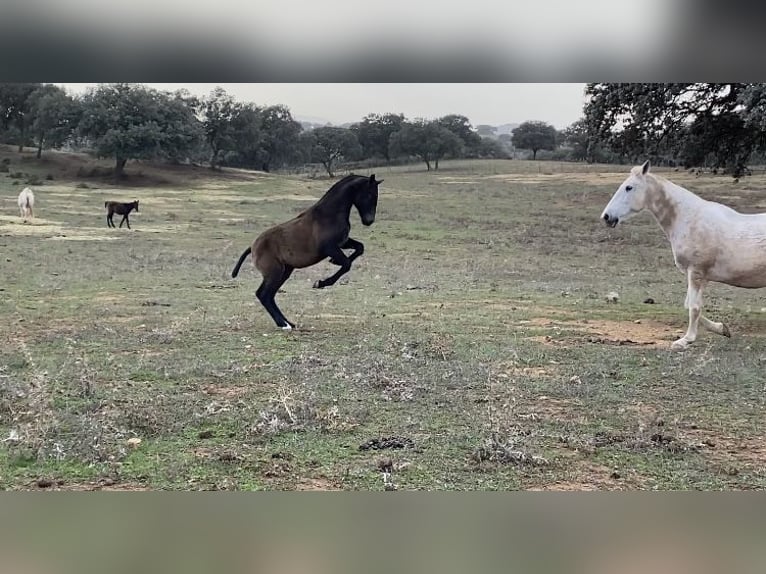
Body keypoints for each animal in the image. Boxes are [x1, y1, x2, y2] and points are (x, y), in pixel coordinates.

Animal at [231, 173, 383, 330]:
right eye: (370, 194)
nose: (369, 221)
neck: (329, 214)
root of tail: (253, 247)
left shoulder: (343, 243)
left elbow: (360, 248)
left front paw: (333, 262)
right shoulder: (330, 247)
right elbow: (346, 264)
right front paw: (320, 283)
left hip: (284, 272)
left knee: (269, 295)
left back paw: (288, 322)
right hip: (274, 273)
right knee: (264, 295)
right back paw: (284, 324)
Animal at [601, 160, 766, 350]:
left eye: (629, 187)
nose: (607, 217)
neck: (689, 219)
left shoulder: (695, 272)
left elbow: (694, 307)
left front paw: (686, 340)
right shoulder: (700, 277)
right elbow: (690, 305)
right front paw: (722, 328)